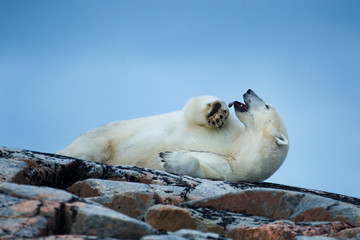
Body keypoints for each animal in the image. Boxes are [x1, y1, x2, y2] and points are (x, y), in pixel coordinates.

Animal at [56, 89, 290, 182]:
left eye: (266, 105)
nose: (249, 90)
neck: (239, 147)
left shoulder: (233, 169)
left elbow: (204, 168)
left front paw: (168, 158)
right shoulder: (231, 132)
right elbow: (193, 110)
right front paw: (217, 112)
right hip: (107, 134)